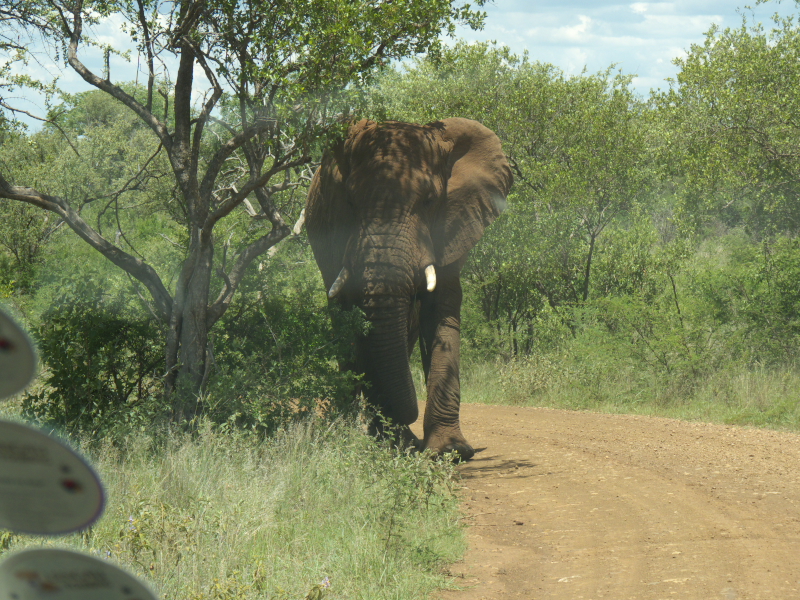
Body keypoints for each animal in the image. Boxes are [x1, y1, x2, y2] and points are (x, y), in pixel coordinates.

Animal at [305, 117, 513, 460]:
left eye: (429, 200)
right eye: (350, 202)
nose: (408, 413)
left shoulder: (452, 228)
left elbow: (441, 312)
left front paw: (450, 451)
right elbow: (359, 325)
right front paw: (395, 442)